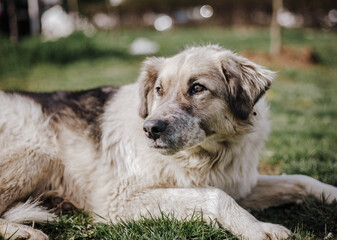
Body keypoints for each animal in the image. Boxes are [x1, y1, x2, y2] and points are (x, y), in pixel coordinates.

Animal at [0, 45, 336, 240]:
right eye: (159, 90)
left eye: (197, 88)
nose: (150, 129)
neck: (208, 155)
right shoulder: (120, 200)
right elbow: (215, 196)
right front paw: (257, 228)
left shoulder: (240, 183)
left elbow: (300, 180)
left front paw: (331, 194)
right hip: (39, 152)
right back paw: (24, 232)